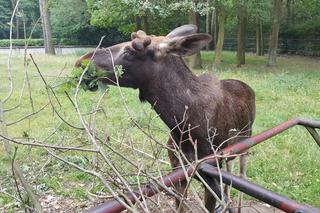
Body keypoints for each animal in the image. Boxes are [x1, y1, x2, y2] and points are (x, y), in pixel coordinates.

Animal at [75, 25, 255, 213]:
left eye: (131, 50)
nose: (81, 61)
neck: (184, 126)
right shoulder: (178, 170)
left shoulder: (210, 172)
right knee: (230, 168)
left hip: (247, 142)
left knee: (241, 174)